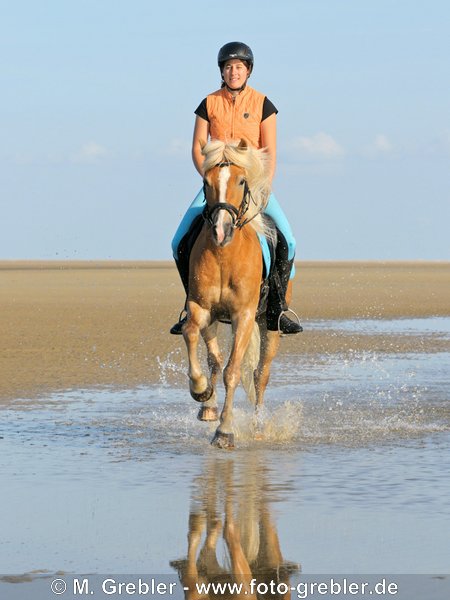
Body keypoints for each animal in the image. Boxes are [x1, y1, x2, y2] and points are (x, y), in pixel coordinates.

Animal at [183, 141, 292, 448]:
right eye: (205, 183)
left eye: (242, 181)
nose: (221, 230)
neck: (225, 254)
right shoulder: (200, 307)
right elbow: (190, 333)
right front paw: (200, 390)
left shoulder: (243, 315)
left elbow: (233, 372)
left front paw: (225, 431)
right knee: (215, 358)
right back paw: (208, 407)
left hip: (270, 324)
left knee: (259, 375)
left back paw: (258, 426)